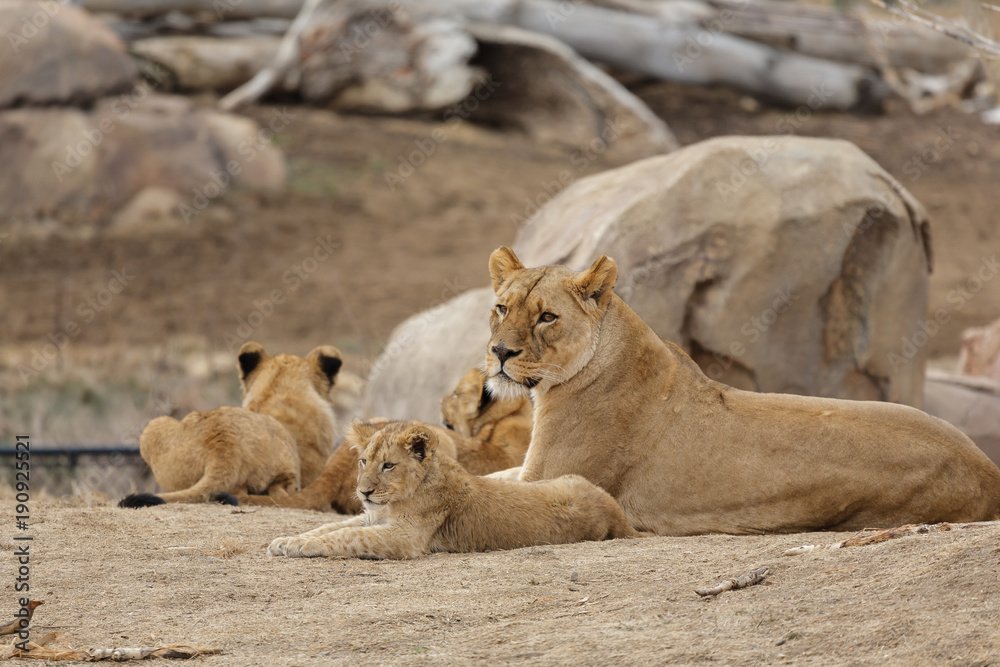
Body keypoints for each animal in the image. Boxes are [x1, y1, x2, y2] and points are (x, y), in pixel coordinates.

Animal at [266, 420, 642, 559]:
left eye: (388, 465)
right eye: (362, 461)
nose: (364, 493)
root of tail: (614, 511)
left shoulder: (406, 538)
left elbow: (346, 537)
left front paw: (301, 547)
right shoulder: (372, 518)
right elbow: (331, 526)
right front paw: (287, 540)